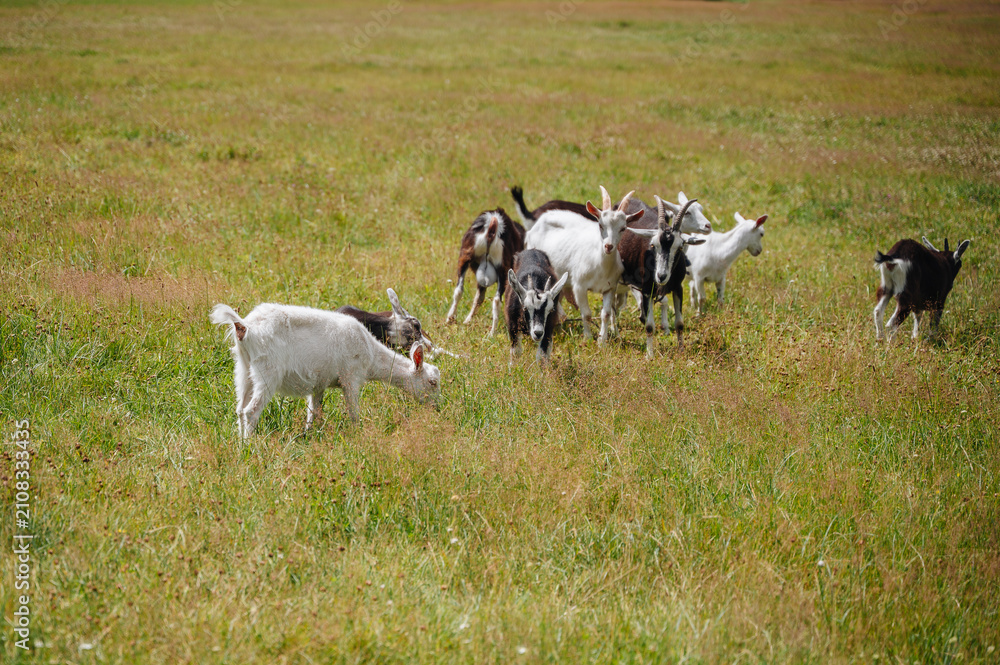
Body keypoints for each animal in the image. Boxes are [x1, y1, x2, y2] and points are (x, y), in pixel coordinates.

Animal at [210, 303, 440, 436]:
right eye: (432, 382)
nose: (437, 409)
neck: (372, 354)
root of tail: (244, 327)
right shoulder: (351, 377)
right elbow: (353, 412)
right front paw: (358, 433)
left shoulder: (318, 384)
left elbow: (314, 412)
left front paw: (308, 435)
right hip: (267, 370)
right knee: (251, 411)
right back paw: (251, 446)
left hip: (243, 368)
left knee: (240, 409)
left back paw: (241, 444)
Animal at [445, 208, 525, 336]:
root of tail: (494, 224)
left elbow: (479, 297)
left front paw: (467, 321)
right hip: (503, 270)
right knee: (496, 300)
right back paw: (492, 332)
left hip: (466, 256)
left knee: (459, 290)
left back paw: (450, 319)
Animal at [524, 186, 644, 344]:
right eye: (600, 225)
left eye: (623, 228)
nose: (608, 246)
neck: (600, 265)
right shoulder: (579, 286)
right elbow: (586, 314)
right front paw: (588, 338)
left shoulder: (610, 287)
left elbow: (606, 313)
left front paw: (602, 341)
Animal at [616, 197, 704, 356]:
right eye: (652, 245)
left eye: (680, 247)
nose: (661, 276)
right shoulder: (647, 290)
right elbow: (650, 326)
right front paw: (649, 355)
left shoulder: (678, 288)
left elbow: (679, 323)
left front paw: (681, 350)